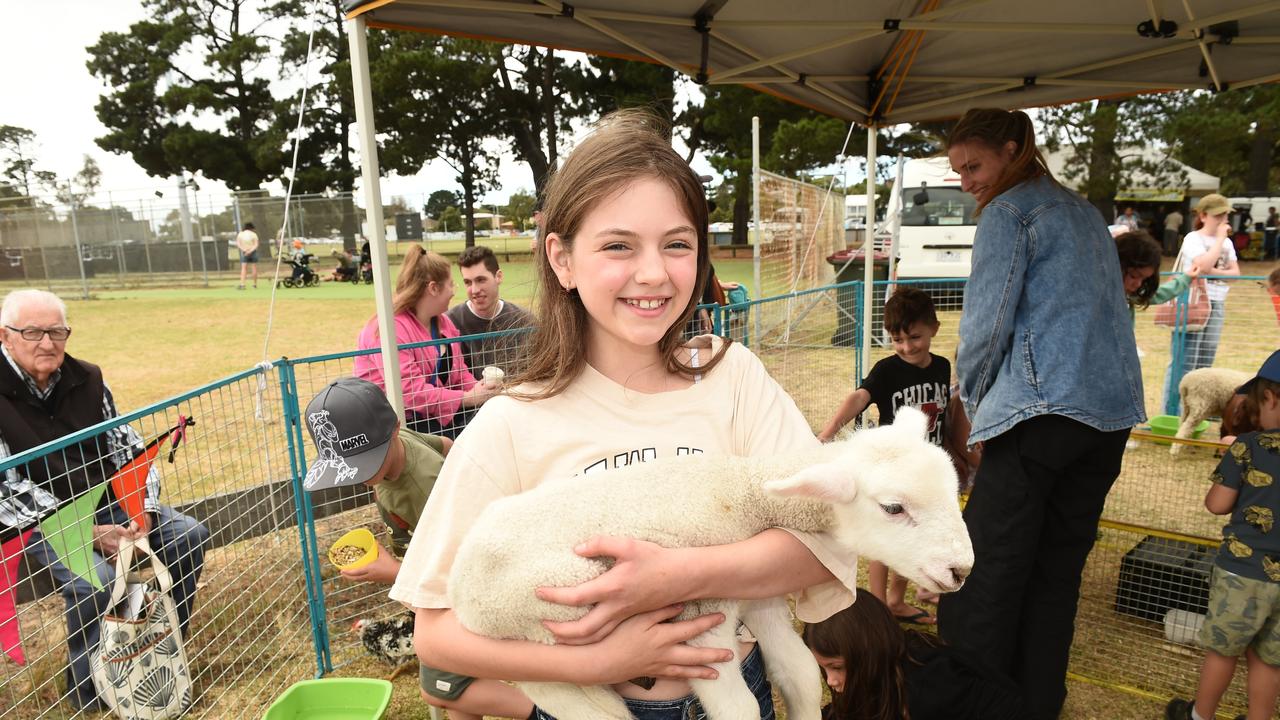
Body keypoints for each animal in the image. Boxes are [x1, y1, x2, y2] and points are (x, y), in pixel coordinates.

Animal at [448, 407, 967, 712]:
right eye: (893, 508)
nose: (961, 570)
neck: (743, 494)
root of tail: (459, 587)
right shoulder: (701, 625)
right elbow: (739, 708)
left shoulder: (759, 597)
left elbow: (799, 673)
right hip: (547, 639)